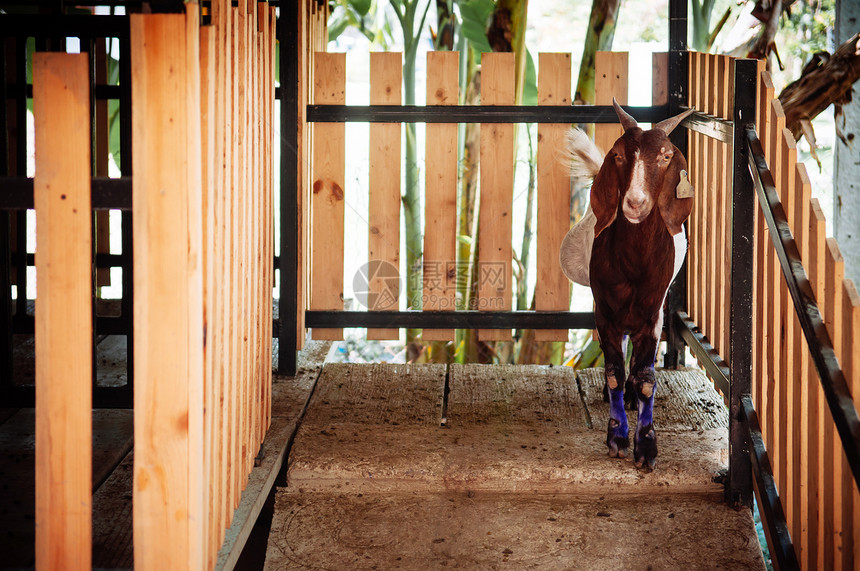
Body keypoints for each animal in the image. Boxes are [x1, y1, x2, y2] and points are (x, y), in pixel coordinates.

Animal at [560, 100, 696, 472]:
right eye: (619, 155)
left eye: (666, 155)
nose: (634, 203)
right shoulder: (605, 309)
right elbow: (612, 372)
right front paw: (617, 438)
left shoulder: (652, 313)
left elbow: (647, 378)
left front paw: (646, 447)